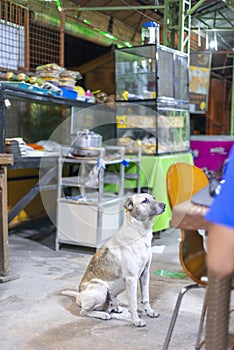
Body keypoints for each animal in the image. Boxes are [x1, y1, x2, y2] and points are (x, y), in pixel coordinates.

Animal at [61, 193, 165, 326]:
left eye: (154, 198)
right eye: (145, 201)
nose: (164, 205)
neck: (139, 233)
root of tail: (79, 296)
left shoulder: (145, 274)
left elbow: (146, 297)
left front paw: (150, 312)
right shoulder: (131, 279)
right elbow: (133, 303)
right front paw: (136, 320)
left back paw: (115, 308)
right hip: (101, 289)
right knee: (84, 311)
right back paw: (103, 314)